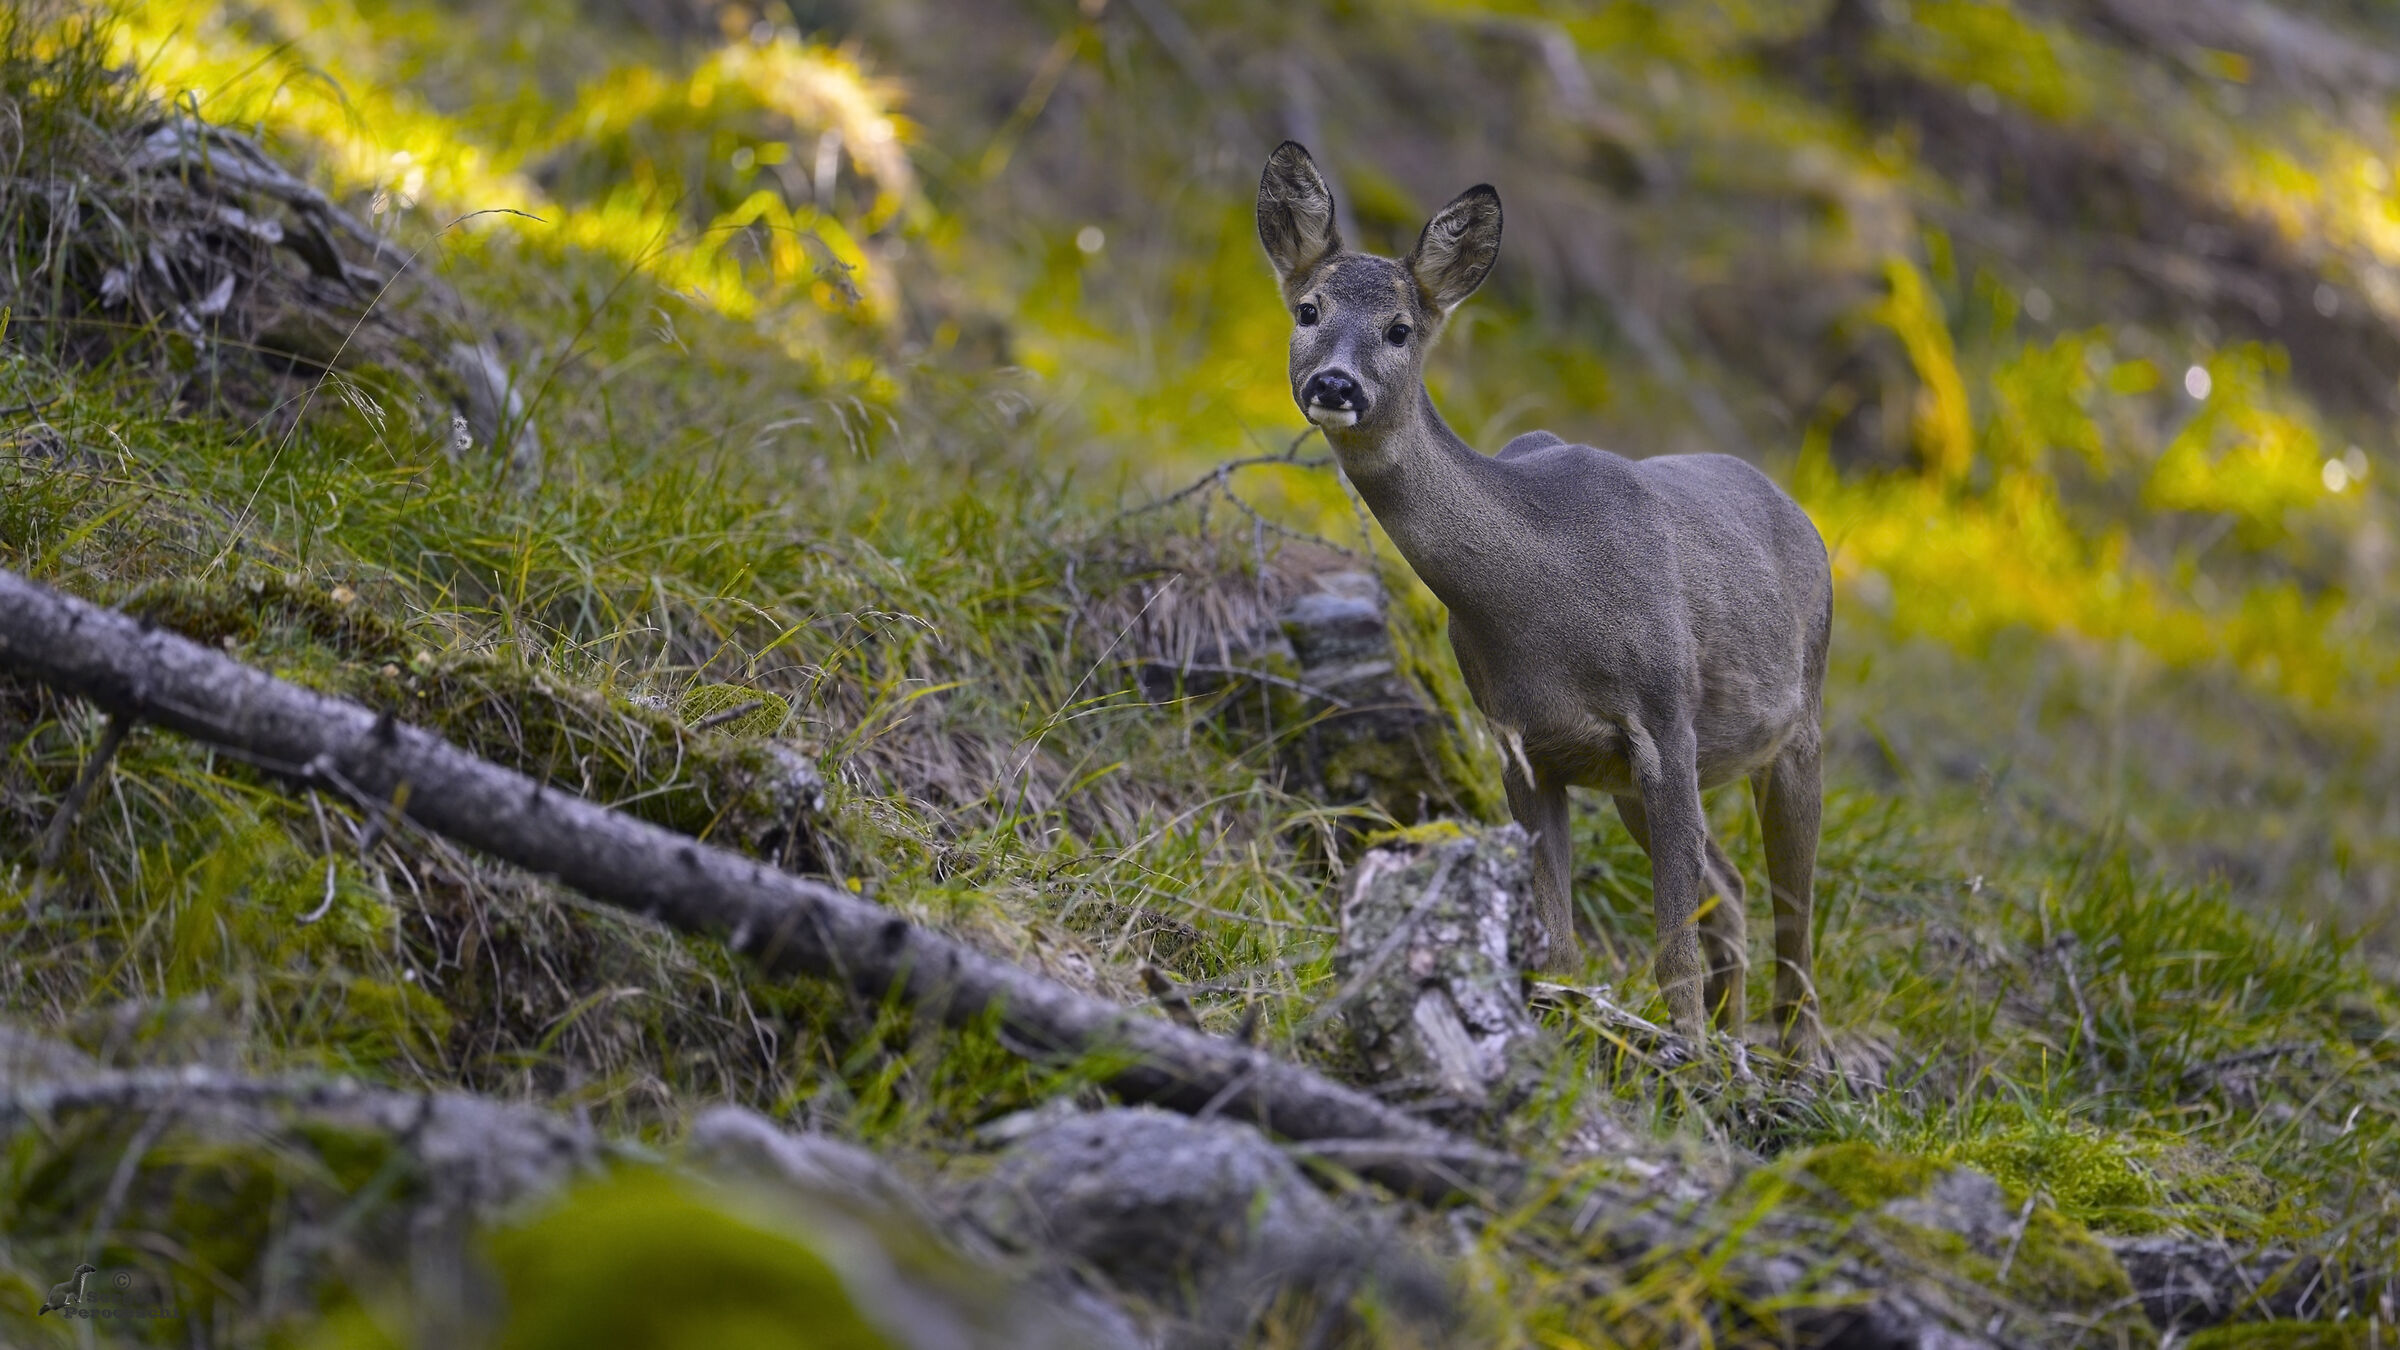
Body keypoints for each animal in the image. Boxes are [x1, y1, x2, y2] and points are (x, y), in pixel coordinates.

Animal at [1256, 142, 1833, 1061]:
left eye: (1400, 329)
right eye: (1309, 308)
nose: (1337, 385)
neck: (1542, 596)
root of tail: (1804, 517)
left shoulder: (1663, 719)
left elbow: (1668, 946)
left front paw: (1678, 1050)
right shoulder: (1522, 744)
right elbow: (1559, 946)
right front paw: (1570, 1043)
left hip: (1798, 724)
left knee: (1795, 913)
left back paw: (1791, 1059)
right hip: (1642, 785)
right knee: (1735, 890)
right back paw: (1734, 1037)